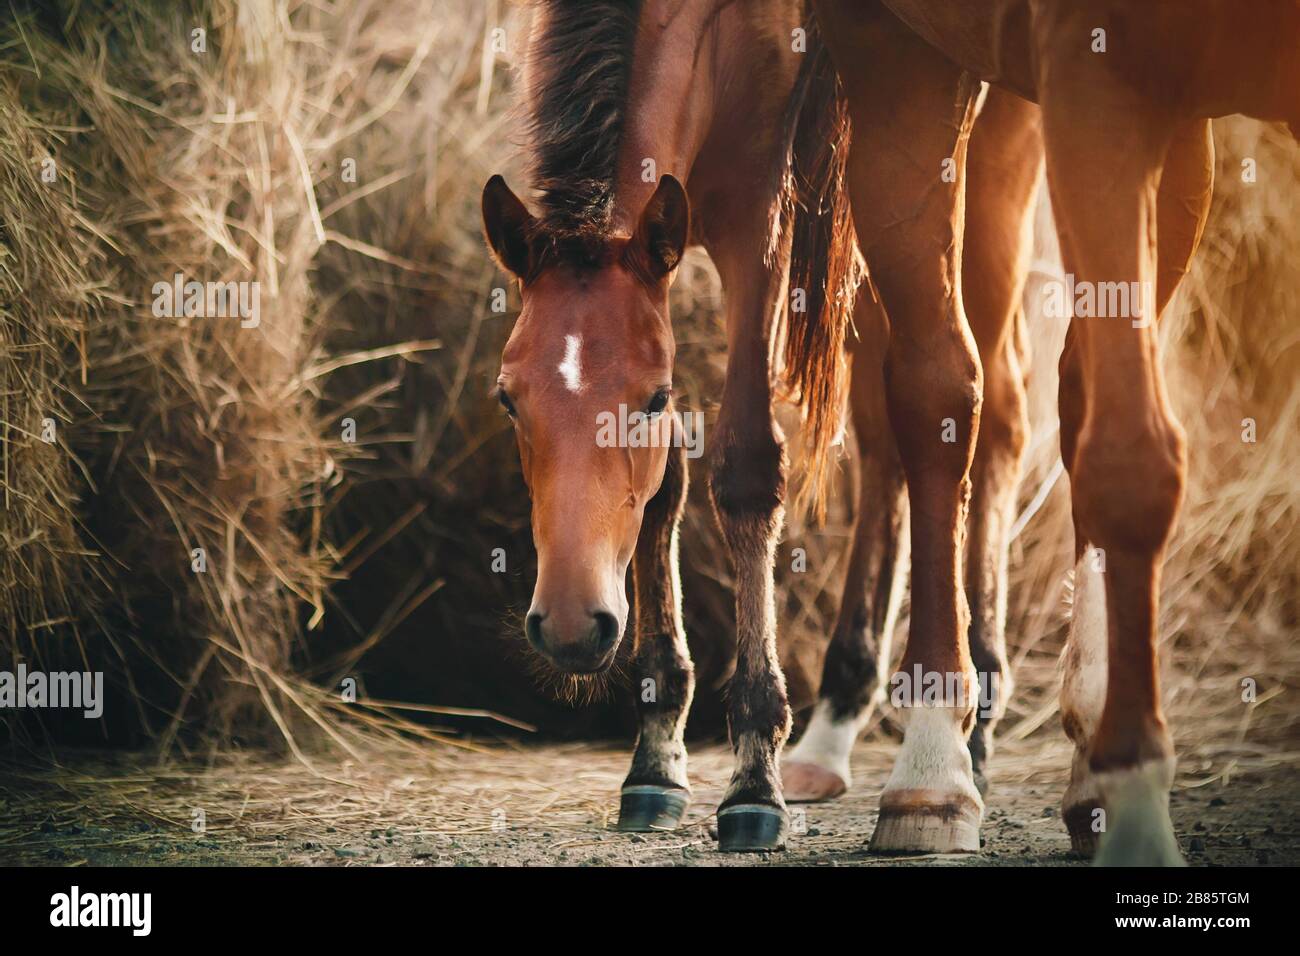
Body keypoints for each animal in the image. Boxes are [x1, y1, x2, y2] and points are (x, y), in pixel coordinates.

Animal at [811, 1, 1300, 868]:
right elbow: (1128, 460)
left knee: (1064, 393)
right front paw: (1137, 805)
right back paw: (933, 770)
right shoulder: (1094, 70)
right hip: (902, 54)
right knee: (942, 395)